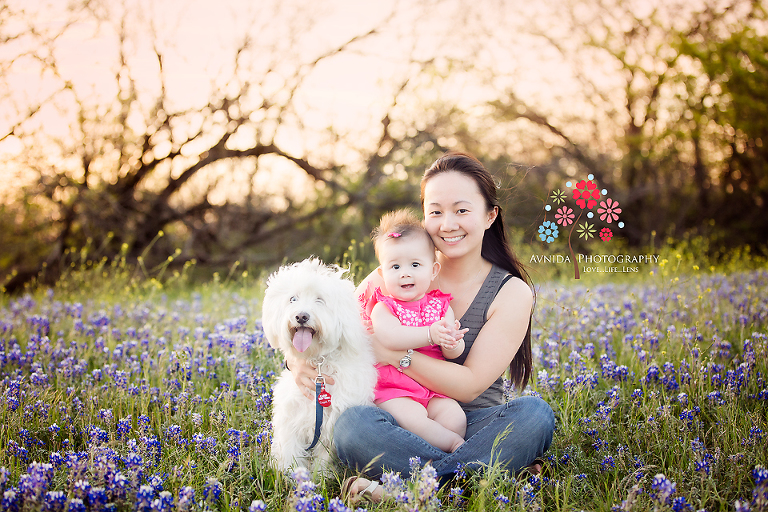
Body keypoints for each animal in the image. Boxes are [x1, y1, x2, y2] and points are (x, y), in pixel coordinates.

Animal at [260, 258, 378, 474]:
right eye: (293, 299)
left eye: (320, 300)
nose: (301, 316)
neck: (317, 363)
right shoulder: (291, 417)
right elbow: (289, 451)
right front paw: (289, 474)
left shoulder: (331, 420)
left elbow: (323, 455)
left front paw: (319, 475)